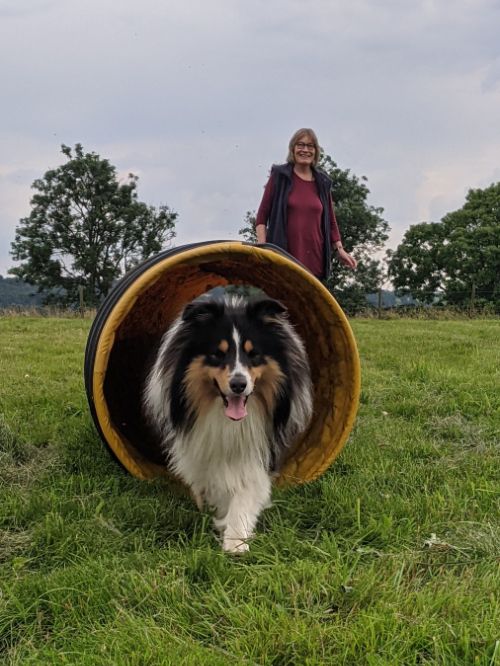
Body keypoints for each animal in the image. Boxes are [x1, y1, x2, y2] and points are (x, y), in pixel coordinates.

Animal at [142, 294, 312, 548]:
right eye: (217, 354)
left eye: (254, 354)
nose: (238, 385)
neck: (228, 421)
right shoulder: (199, 448)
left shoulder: (258, 451)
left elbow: (246, 490)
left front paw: (235, 541)